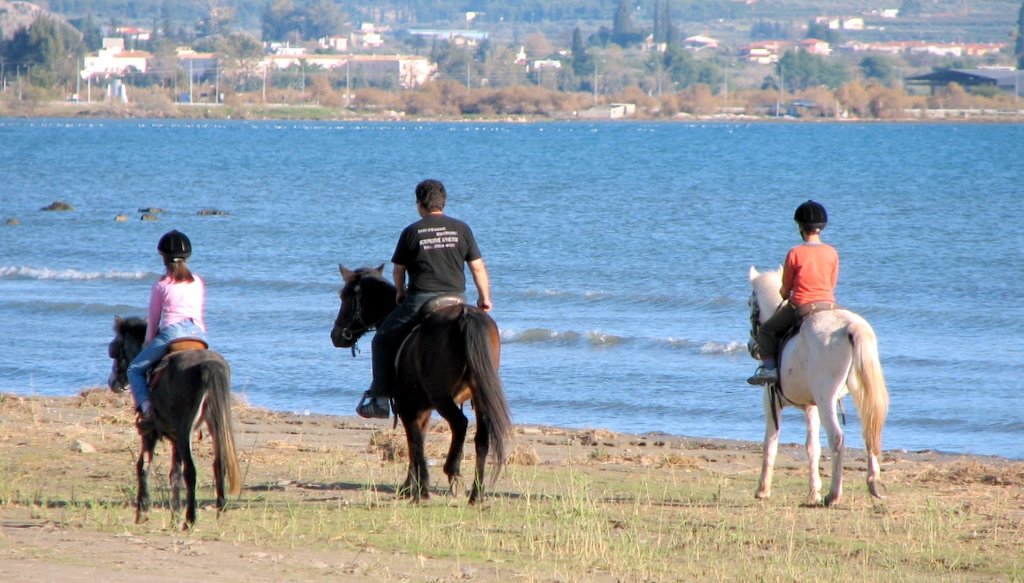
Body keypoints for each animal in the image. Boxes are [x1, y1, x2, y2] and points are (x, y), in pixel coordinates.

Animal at [108, 313, 241, 528]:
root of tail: (208, 367)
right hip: (213, 426)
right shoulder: (175, 438)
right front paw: (174, 515)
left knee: (191, 471)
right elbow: (174, 474)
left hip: (185, 432)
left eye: (115, 350)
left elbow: (143, 466)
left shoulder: (150, 434)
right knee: (218, 465)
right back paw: (220, 514)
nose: (112, 382)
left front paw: (142, 512)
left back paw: (190, 519)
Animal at [333, 264, 516, 504]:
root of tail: (464, 314)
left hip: (441, 396)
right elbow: (418, 439)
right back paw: (476, 493)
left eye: (344, 296)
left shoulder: (407, 406)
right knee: (482, 439)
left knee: (460, 424)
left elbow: (414, 442)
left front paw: (419, 488)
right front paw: (410, 485)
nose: (336, 335)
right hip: (478, 396)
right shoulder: (422, 408)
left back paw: (453, 472)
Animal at [745, 266, 888, 502]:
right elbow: (813, 447)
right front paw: (814, 491)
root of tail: (851, 327)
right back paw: (873, 484)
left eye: (750, 303)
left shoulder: (771, 401)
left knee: (837, 438)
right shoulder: (811, 407)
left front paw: (762, 489)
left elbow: (770, 444)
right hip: (857, 393)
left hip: (826, 399)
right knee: (869, 432)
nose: (751, 346)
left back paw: (834, 494)